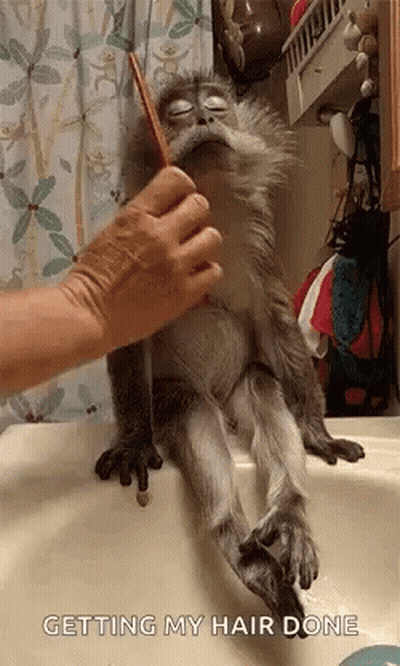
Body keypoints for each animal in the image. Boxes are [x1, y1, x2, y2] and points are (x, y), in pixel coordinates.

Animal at [95, 73, 365, 634]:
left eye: (216, 108)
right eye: (179, 113)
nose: (203, 120)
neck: (207, 201)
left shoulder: (259, 236)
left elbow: (275, 321)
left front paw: (315, 430)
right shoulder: (135, 228)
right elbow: (127, 324)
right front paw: (132, 441)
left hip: (239, 386)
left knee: (261, 384)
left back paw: (288, 513)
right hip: (182, 397)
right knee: (190, 408)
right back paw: (238, 543)